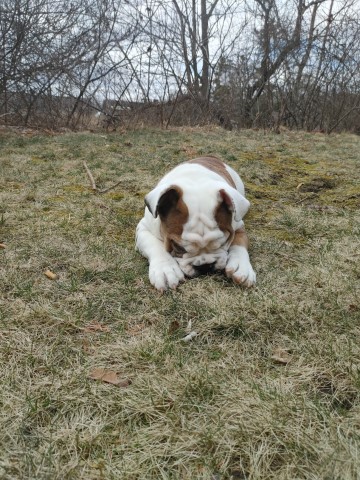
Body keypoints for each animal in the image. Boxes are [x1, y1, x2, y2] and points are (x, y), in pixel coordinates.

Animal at [136, 157, 256, 292]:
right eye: (178, 247)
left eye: (224, 242)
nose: (205, 266)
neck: (195, 181)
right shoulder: (143, 228)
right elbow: (155, 245)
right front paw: (165, 269)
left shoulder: (238, 225)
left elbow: (239, 242)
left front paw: (241, 266)